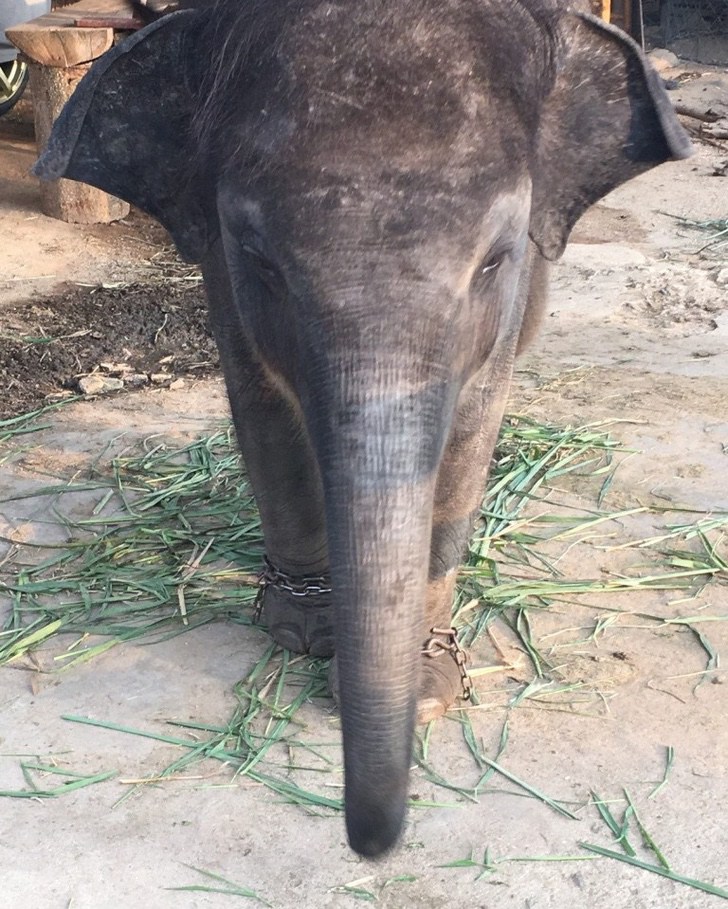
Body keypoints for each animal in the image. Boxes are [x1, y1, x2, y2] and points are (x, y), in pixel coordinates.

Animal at [34, 0, 691, 857]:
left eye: (494, 260)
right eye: (263, 261)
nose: (374, 844)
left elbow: (471, 431)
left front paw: (427, 682)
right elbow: (263, 408)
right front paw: (305, 635)